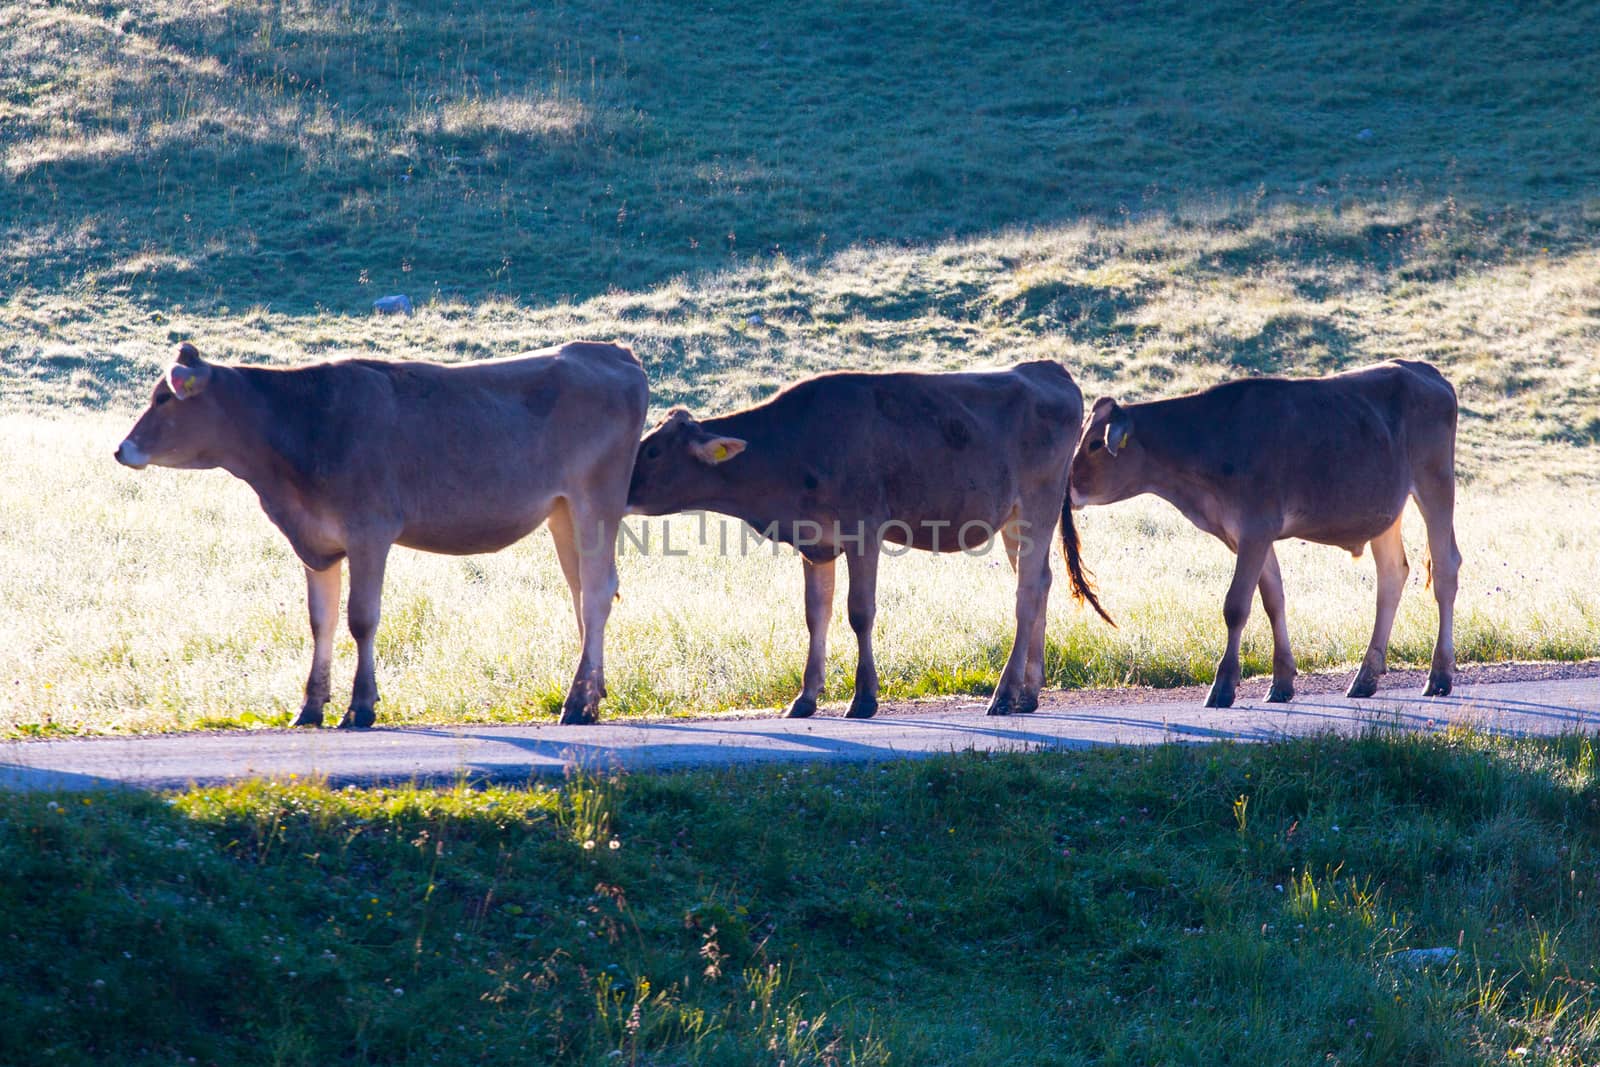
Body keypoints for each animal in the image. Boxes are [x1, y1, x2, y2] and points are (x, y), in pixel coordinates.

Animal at [112, 340, 649, 726]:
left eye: (164, 397)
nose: (121, 449)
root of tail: (610, 351)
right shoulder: (315, 543)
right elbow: (321, 621)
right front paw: (310, 707)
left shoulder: (370, 533)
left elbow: (361, 619)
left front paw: (360, 707)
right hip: (563, 511)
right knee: (581, 593)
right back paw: (592, 692)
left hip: (596, 500)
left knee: (596, 592)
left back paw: (577, 704)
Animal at [624, 363, 1113, 723]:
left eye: (652, 451)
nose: (619, 487)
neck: (790, 448)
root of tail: (1047, 369)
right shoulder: (816, 542)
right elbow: (815, 615)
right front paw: (805, 698)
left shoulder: (864, 531)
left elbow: (859, 612)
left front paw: (863, 699)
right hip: (1014, 521)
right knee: (1042, 582)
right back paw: (1029, 692)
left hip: (1036, 505)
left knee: (1026, 593)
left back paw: (1005, 694)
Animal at [1068, 361, 1459, 710]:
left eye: (1094, 444)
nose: (1067, 485)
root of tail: (1423, 370)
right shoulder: (1249, 534)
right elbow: (1273, 600)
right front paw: (1282, 681)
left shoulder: (1256, 528)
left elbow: (1236, 606)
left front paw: (1223, 685)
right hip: (1385, 511)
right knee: (1391, 575)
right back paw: (1365, 677)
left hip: (1435, 483)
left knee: (1445, 571)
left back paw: (1439, 675)